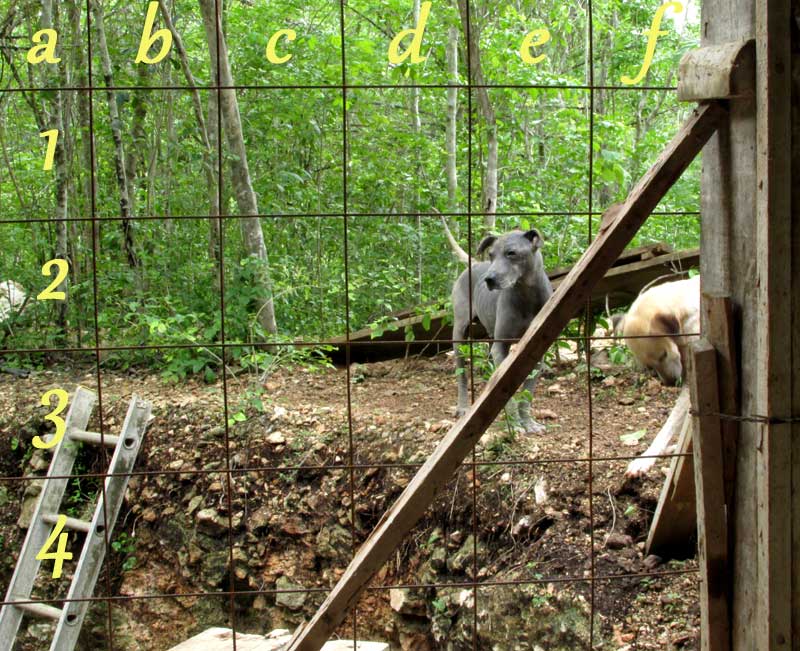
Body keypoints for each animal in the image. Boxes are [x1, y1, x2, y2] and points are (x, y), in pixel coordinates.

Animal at [446, 227, 552, 436]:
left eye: (511, 253)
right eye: (491, 255)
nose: (489, 279)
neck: (526, 294)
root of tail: (474, 264)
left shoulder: (537, 349)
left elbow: (527, 392)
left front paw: (528, 423)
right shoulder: (501, 347)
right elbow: (506, 389)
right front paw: (515, 423)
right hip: (460, 334)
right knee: (461, 373)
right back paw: (463, 407)